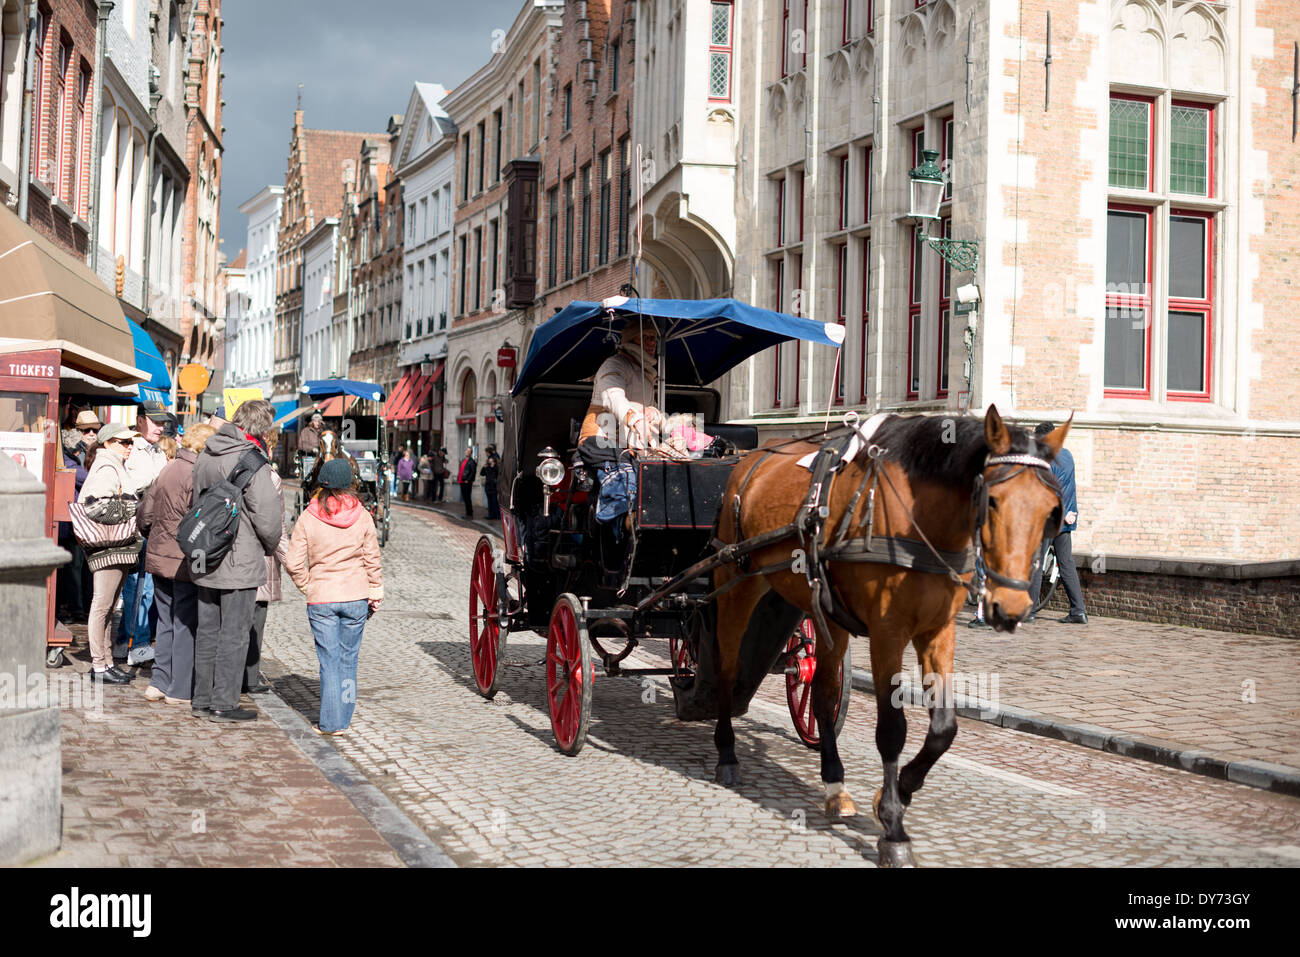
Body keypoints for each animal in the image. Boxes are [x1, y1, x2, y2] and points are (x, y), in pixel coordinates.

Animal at [712, 403, 1066, 868]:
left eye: (1051, 510)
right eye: (991, 500)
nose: (1011, 608)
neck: (919, 520)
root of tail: (746, 461)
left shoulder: (937, 630)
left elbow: (943, 729)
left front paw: (893, 793)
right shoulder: (887, 632)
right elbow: (892, 729)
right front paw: (894, 828)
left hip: (826, 614)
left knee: (821, 694)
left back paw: (835, 787)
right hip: (736, 585)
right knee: (726, 665)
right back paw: (727, 752)